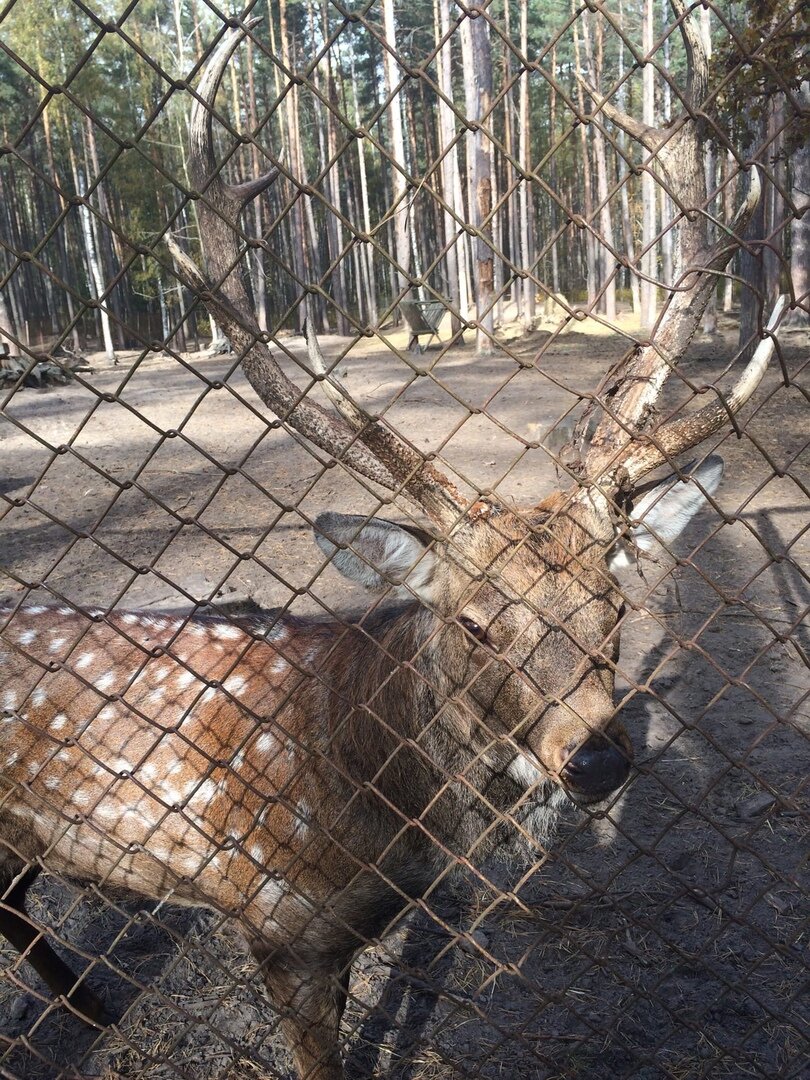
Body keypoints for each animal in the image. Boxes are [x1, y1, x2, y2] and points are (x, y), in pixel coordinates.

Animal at [0, 10, 786, 1080]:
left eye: (614, 604)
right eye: (477, 622)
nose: (594, 759)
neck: (378, 812)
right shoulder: (278, 927)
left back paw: (91, 1004)